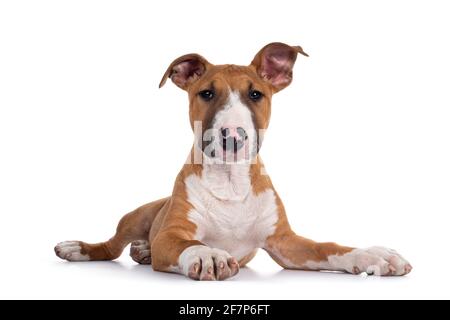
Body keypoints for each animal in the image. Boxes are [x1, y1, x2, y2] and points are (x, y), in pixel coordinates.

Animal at [54, 42, 414, 280]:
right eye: (206, 94)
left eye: (256, 94)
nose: (233, 136)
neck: (230, 181)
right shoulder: (171, 235)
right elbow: (187, 242)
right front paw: (208, 254)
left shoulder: (286, 242)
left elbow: (327, 248)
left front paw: (374, 255)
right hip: (137, 216)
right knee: (111, 246)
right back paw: (79, 249)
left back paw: (142, 250)